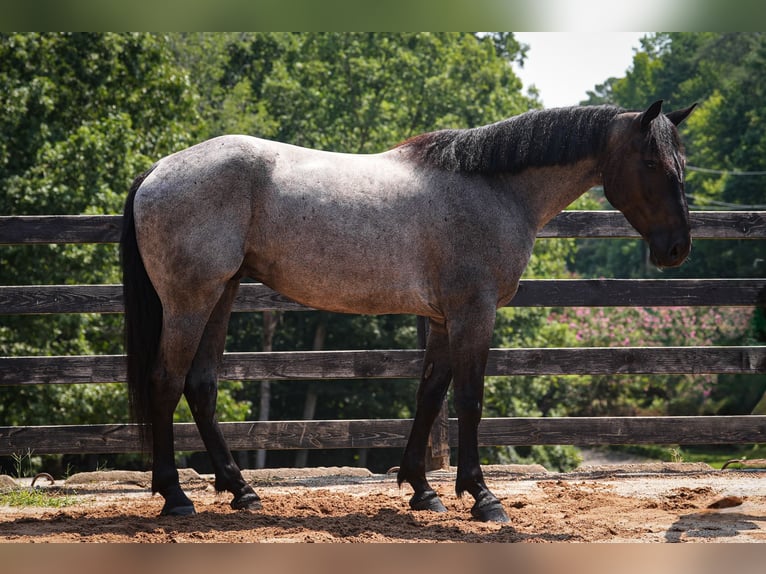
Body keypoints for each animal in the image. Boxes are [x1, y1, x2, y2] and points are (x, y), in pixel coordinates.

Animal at [121, 100, 695, 522]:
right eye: (651, 163)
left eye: (682, 166)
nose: (677, 249)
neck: (492, 187)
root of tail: (159, 169)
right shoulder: (473, 313)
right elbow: (469, 400)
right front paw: (482, 497)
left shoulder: (443, 319)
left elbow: (429, 395)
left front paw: (422, 489)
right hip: (190, 301)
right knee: (165, 381)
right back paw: (176, 498)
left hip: (222, 294)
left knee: (200, 385)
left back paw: (240, 490)